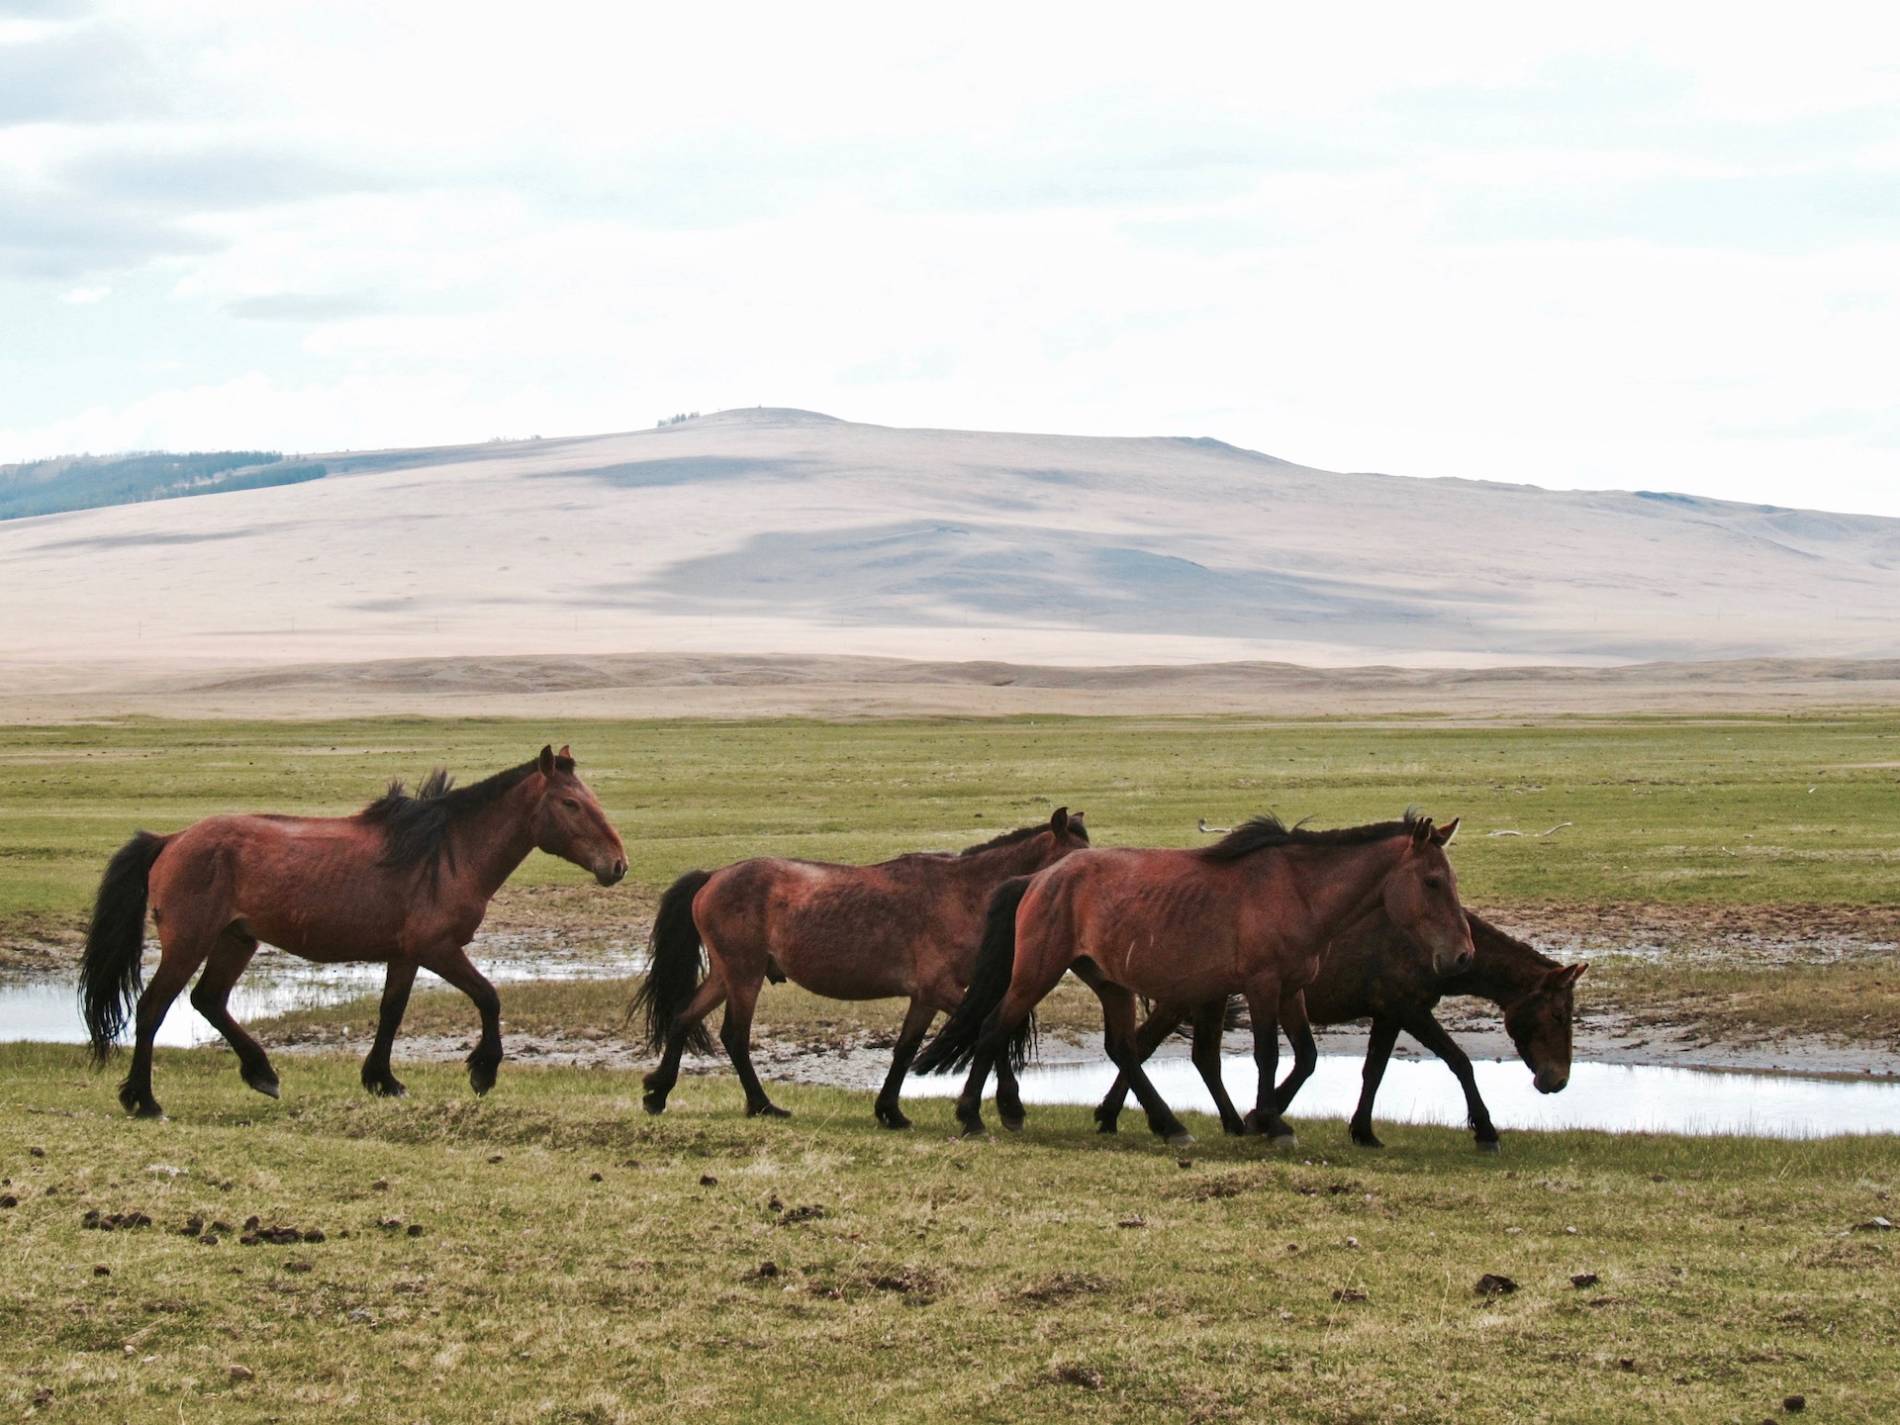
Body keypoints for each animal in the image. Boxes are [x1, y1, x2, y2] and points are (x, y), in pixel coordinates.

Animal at [77, 741, 627, 1124]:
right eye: (571, 804)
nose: (618, 865)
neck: (448, 854)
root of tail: (171, 840)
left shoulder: (405, 954)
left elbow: (391, 1012)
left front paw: (382, 1079)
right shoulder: (438, 949)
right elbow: (489, 998)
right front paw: (482, 1071)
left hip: (237, 939)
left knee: (208, 1000)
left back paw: (262, 1073)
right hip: (189, 942)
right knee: (154, 1008)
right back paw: (144, 1100)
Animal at [630, 813, 1094, 1124]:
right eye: (1077, 861)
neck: (964, 895)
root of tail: (713, 877)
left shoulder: (924, 996)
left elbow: (905, 1049)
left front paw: (890, 1111)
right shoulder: (941, 990)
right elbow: (984, 1032)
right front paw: (1011, 1107)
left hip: (727, 975)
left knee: (684, 1017)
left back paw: (658, 1093)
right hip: (743, 976)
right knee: (734, 1036)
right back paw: (763, 1105)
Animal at [912, 813, 1474, 1147]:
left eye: (1449, 879)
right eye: (1432, 881)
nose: (1462, 955)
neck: (1299, 891)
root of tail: (1039, 878)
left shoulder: (1292, 990)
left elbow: (1307, 1056)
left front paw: (1260, 1118)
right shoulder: (1263, 985)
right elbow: (1268, 1055)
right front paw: (1270, 1123)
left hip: (1110, 982)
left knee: (1123, 1049)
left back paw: (1169, 1125)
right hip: (1037, 971)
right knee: (993, 1028)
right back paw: (974, 1116)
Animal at [1094, 908, 1580, 1155]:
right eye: (1559, 1014)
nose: (1557, 1081)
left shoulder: (1389, 1014)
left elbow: (1374, 1072)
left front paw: (1362, 1130)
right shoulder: (1409, 1008)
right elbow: (1460, 1062)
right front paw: (1485, 1130)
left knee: (1182, 1053)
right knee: (1146, 1045)